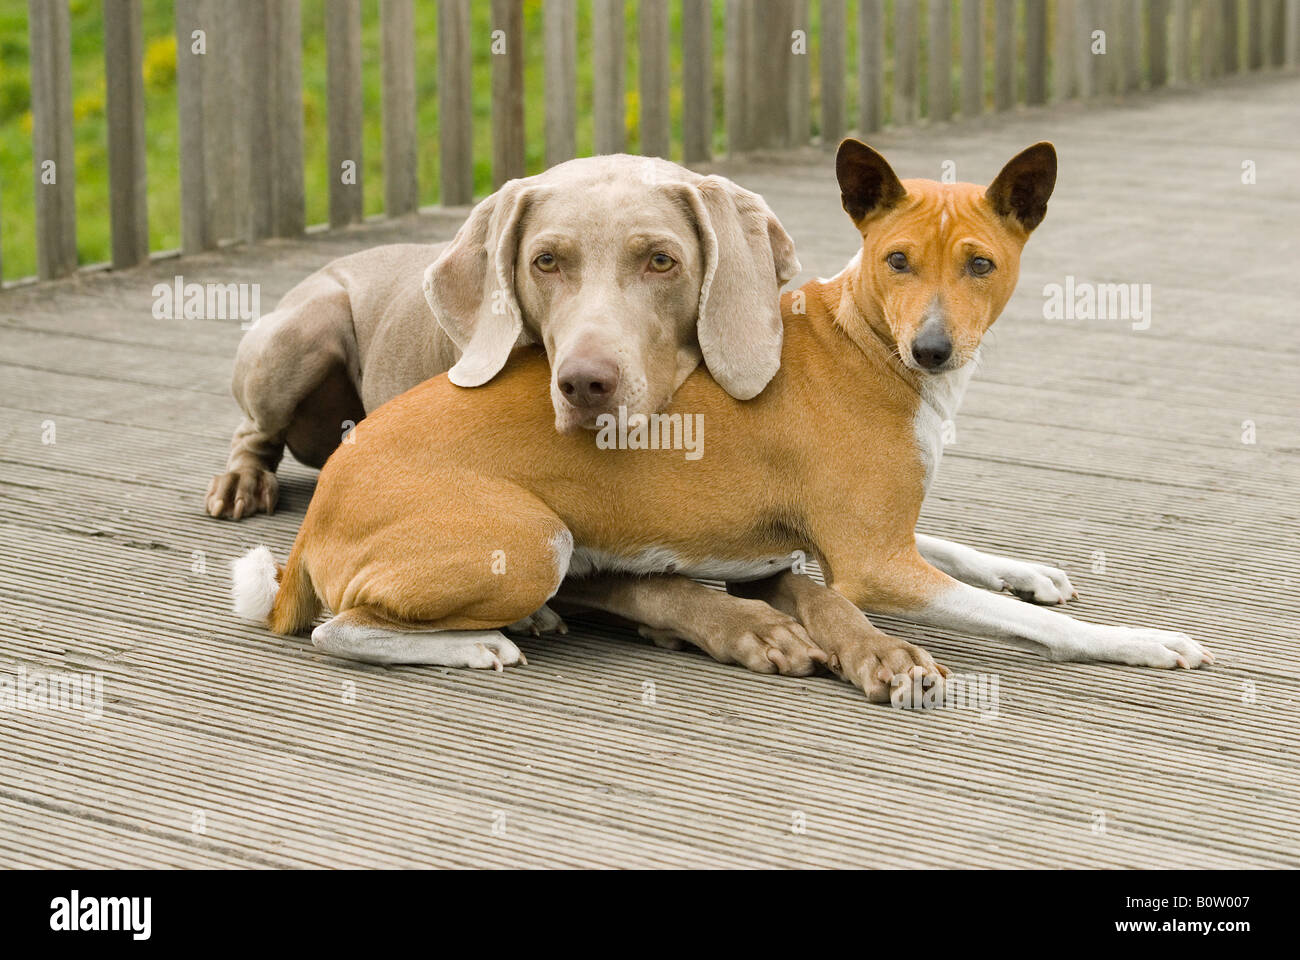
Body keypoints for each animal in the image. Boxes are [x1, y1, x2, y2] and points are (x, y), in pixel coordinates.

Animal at [208, 154, 795, 520]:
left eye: (660, 260)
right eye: (546, 261)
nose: (584, 386)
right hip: (307, 326)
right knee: (252, 430)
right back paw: (241, 484)